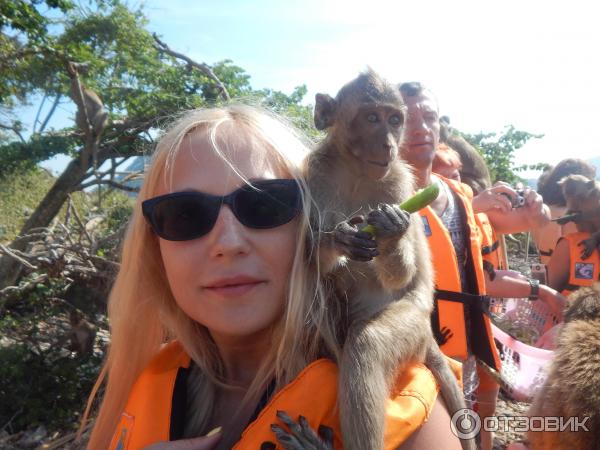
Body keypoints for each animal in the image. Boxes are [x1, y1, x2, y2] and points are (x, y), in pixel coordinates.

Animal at [274, 68, 474, 450]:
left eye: (394, 120)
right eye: (371, 118)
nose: (388, 144)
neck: (357, 171)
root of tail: (428, 337)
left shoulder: (399, 182)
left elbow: (402, 276)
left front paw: (392, 229)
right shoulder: (316, 176)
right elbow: (316, 260)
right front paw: (339, 239)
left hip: (412, 327)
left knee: (368, 345)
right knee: (322, 293)